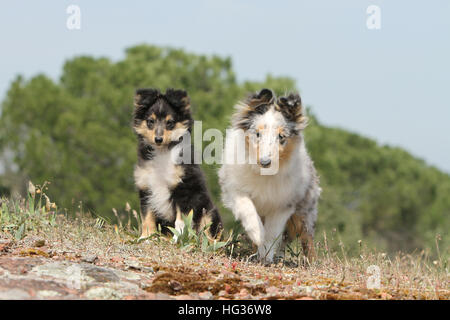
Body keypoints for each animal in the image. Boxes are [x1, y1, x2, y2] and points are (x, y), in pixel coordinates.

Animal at [132, 87, 223, 240]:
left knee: (207, 231)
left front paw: (179, 239)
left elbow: (181, 220)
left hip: (208, 212)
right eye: (150, 121)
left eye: (170, 122)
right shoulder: (146, 188)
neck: (162, 152)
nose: (158, 139)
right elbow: (147, 217)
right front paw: (146, 237)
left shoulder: (185, 189)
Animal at [220, 88, 322, 262]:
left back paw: (311, 261)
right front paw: (257, 234)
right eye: (258, 134)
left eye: (281, 136)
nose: (265, 162)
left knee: (306, 237)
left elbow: (273, 232)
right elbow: (248, 210)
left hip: (304, 211)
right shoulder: (235, 189)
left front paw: (266, 254)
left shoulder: (283, 204)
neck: (264, 174)